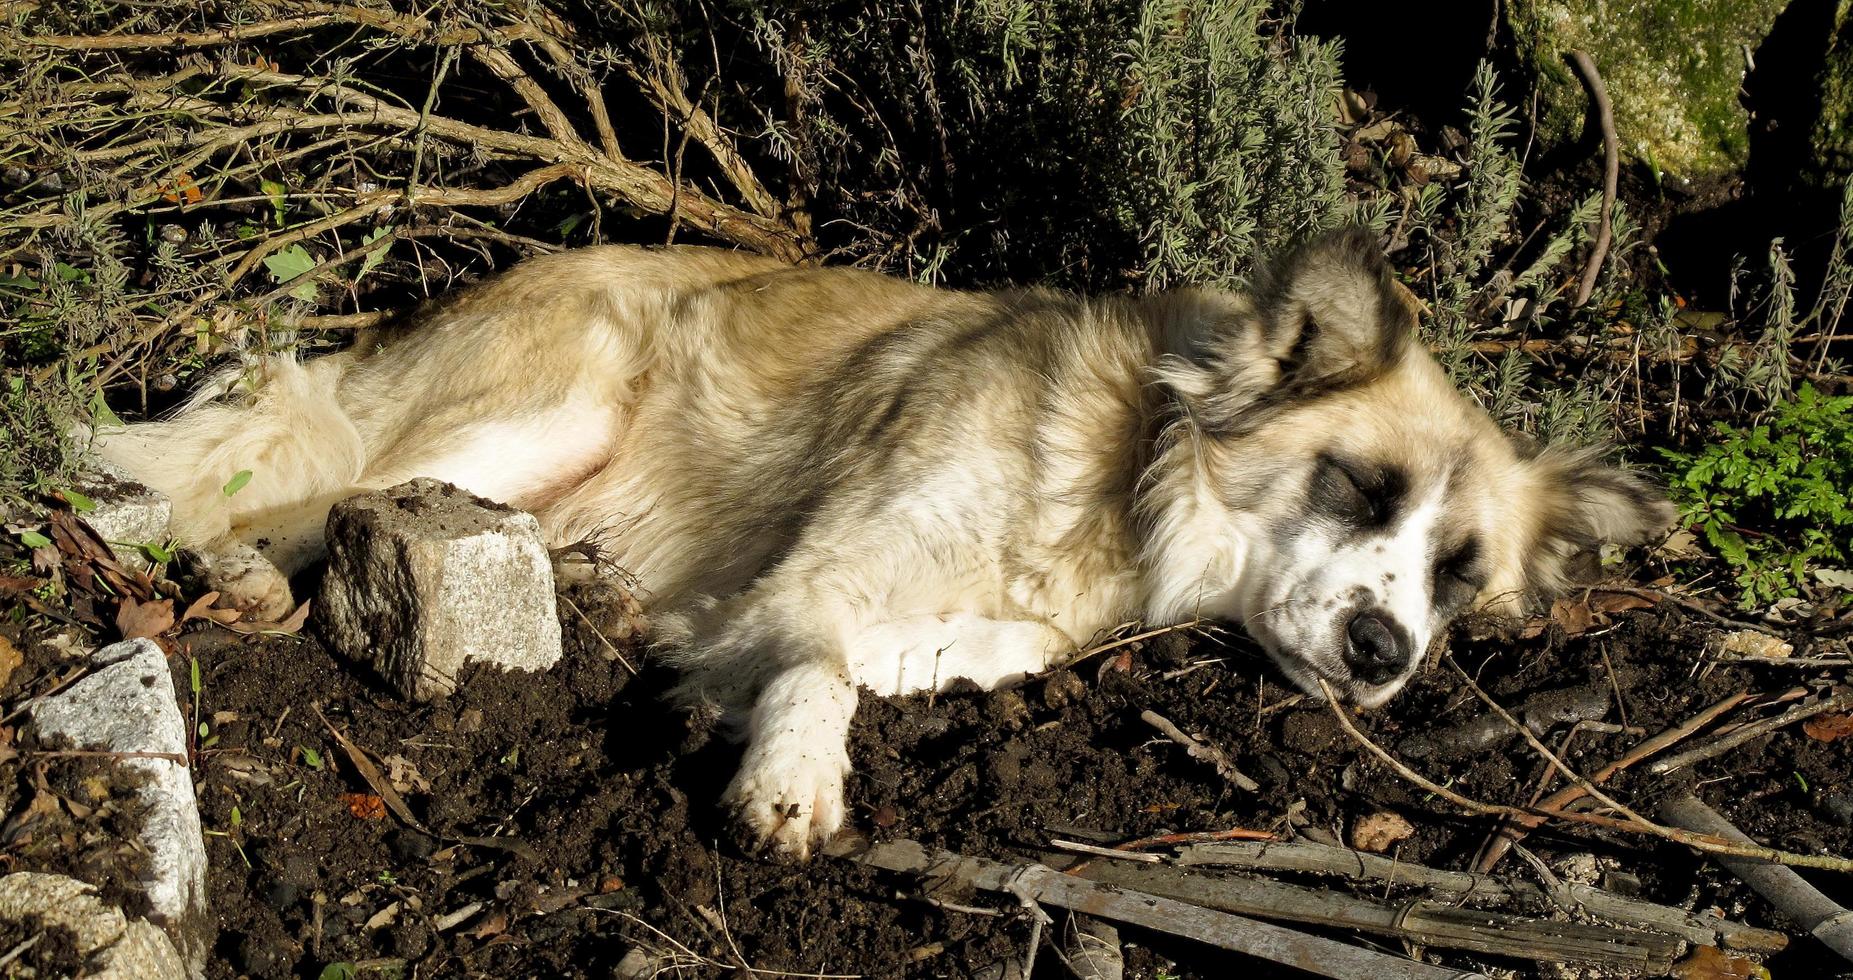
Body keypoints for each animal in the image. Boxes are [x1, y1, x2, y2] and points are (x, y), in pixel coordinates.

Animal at [94, 229, 1675, 855]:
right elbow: (812, 658)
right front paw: (790, 769)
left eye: (1459, 576)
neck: (1120, 471)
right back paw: (243, 573)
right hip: (547, 406)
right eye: (1356, 485)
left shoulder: (987, 607)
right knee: (310, 496)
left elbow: (975, 649)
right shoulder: (811, 567)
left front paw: (908, 663)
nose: (1385, 651)